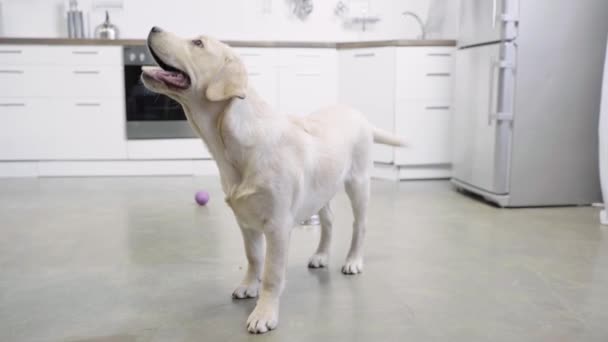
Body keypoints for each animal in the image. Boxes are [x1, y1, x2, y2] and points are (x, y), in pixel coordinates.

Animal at [141, 27, 406, 334]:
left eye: (198, 43)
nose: (153, 28)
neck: (234, 142)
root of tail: (360, 115)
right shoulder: (245, 222)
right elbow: (254, 258)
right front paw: (248, 286)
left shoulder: (278, 226)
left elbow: (271, 272)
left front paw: (264, 313)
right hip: (321, 190)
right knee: (328, 221)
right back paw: (321, 255)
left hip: (359, 183)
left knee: (359, 226)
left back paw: (353, 260)